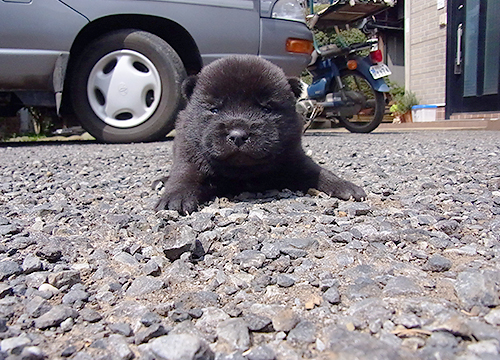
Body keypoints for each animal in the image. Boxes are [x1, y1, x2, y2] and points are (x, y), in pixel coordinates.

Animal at [154, 55, 366, 214]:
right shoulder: (190, 155)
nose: (238, 135)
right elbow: (184, 175)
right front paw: (175, 197)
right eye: (214, 110)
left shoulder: (294, 159)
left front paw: (344, 185)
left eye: (266, 109)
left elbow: (319, 172)